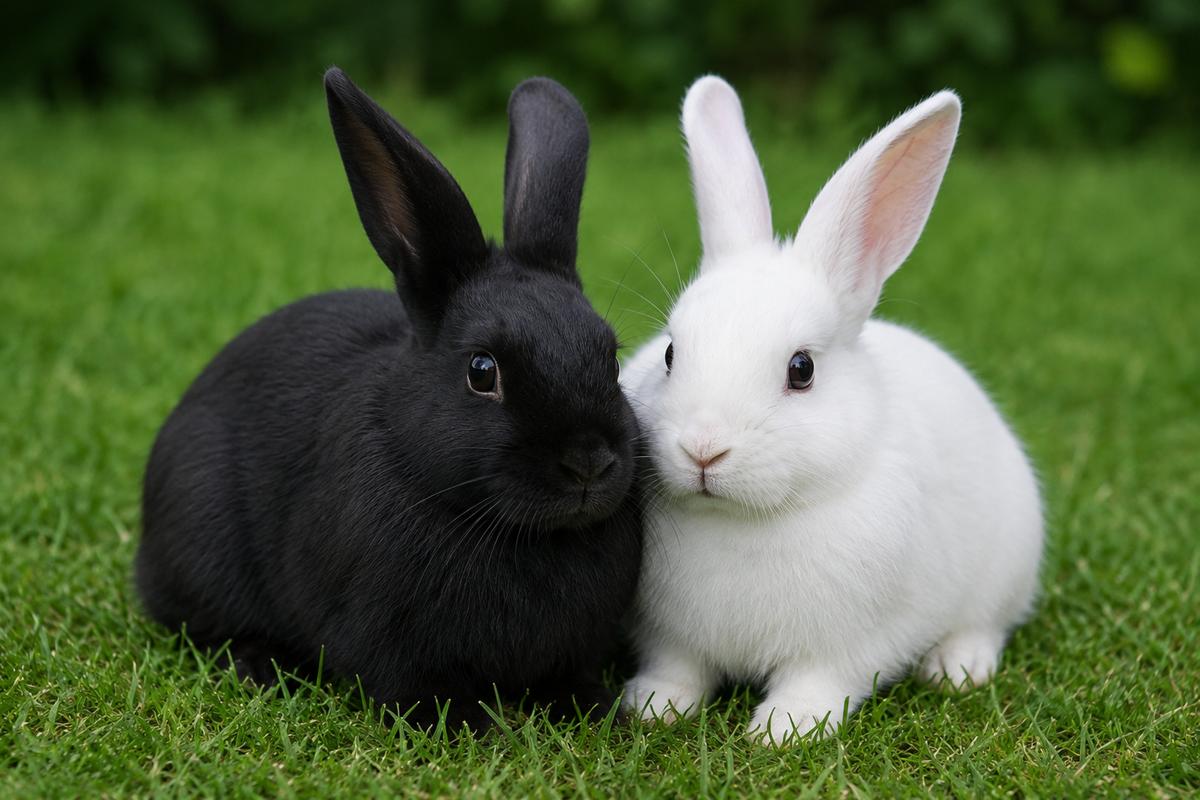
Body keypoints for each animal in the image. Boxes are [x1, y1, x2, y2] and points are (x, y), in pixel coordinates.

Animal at [136, 68, 644, 733]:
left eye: (611, 359)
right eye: (483, 371)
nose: (588, 461)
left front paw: (598, 709)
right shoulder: (385, 639)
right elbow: (412, 688)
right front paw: (469, 725)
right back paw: (264, 666)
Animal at [620, 76, 1043, 745]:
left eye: (802, 370)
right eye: (668, 353)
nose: (703, 448)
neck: (742, 521)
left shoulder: (847, 647)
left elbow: (817, 683)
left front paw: (782, 730)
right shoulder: (670, 639)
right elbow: (677, 669)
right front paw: (653, 706)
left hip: (1007, 564)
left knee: (987, 624)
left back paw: (957, 669)